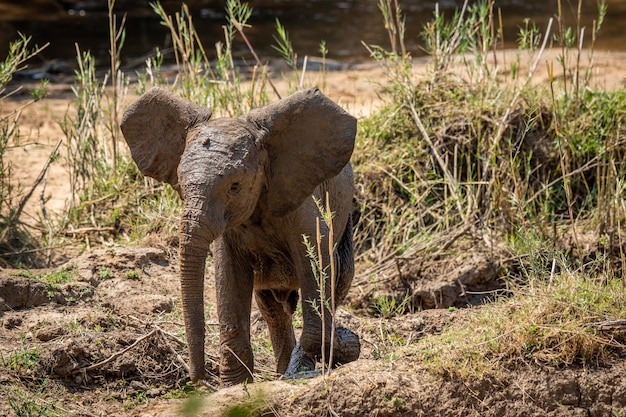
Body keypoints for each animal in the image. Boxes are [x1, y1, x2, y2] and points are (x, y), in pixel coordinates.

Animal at [119, 86, 358, 386]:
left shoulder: (302, 207)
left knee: (339, 278)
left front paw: (339, 347)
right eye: (181, 185)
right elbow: (229, 275)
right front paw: (235, 384)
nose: (197, 379)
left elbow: (317, 265)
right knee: (272, 308)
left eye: (235, 186)